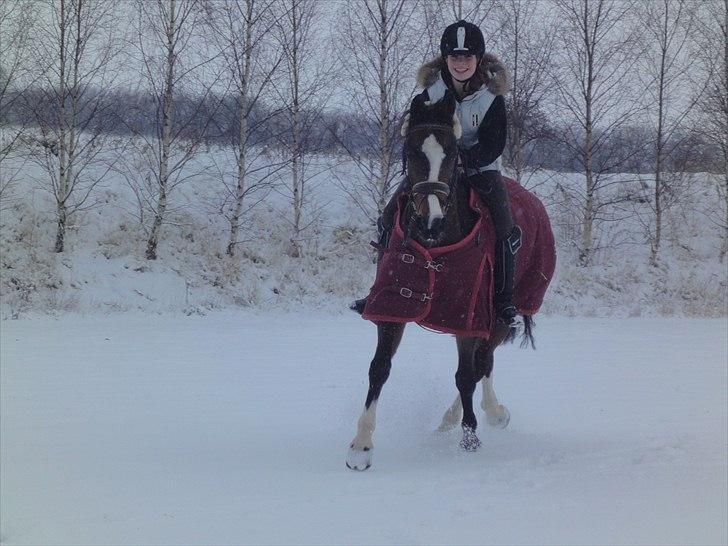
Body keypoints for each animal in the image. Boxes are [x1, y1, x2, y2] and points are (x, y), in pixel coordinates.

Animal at [344, 90, 548, 468]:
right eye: (411, 151)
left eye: (453, 154)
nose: (432, 220)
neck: (433, 244)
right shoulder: (393, 308)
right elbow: (379, 368)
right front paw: (361, 446)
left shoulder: (468, 314)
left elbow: (465, 376)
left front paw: (470, 437)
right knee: (481, 364)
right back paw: (452, 421)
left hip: (498, 317)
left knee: (482, 364)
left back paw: (491, 414)